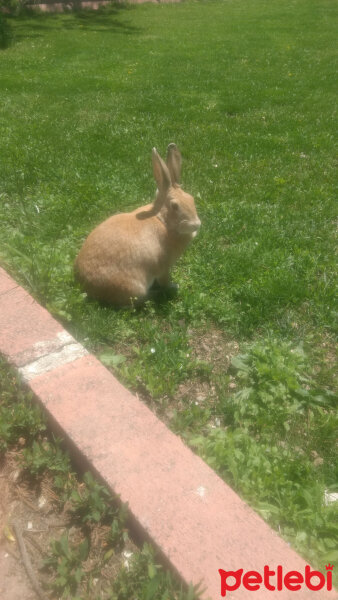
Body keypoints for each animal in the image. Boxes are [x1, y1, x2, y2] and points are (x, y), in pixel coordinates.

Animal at [74, 144, 201, 308]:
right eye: (174, 206)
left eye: (191, 199)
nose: (196, 224)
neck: (163, 221)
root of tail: (88, 287)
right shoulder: (164, 268)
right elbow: (165, 281)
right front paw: (174, 286)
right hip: (135, 288)